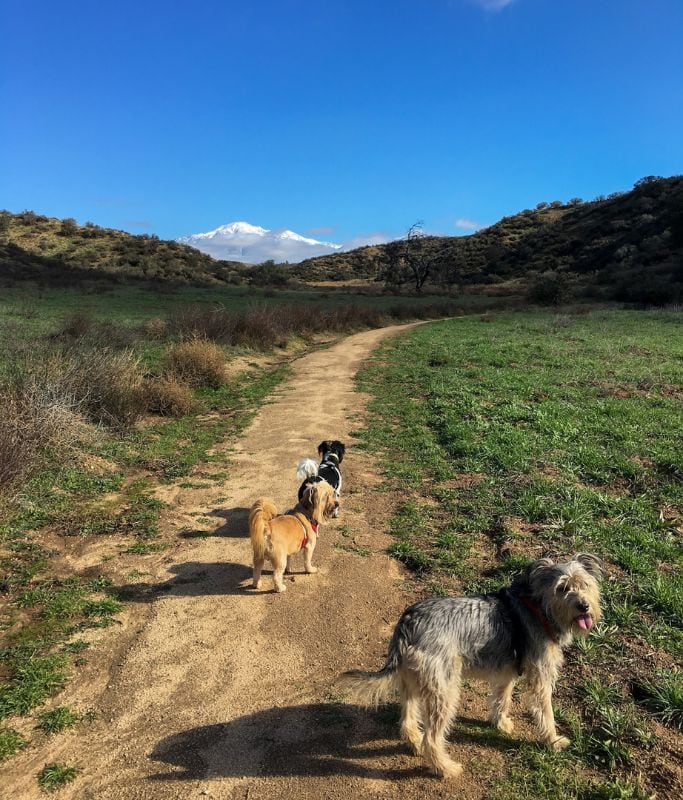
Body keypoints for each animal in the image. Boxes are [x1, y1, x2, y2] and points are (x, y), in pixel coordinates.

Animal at [340, 552, 604, 780]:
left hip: (413, 681)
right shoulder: (541, 676)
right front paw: (553, 741)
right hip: (445, 690)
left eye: (585, 584)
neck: (539, 607)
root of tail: (408, 621)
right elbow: (546, 711)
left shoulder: (506, 672)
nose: (584, 606)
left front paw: (500, 724)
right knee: (432, 739)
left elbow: (502, 698)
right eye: (562, 588)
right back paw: (445, 768)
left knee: (407, 720)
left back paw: (415, 744)